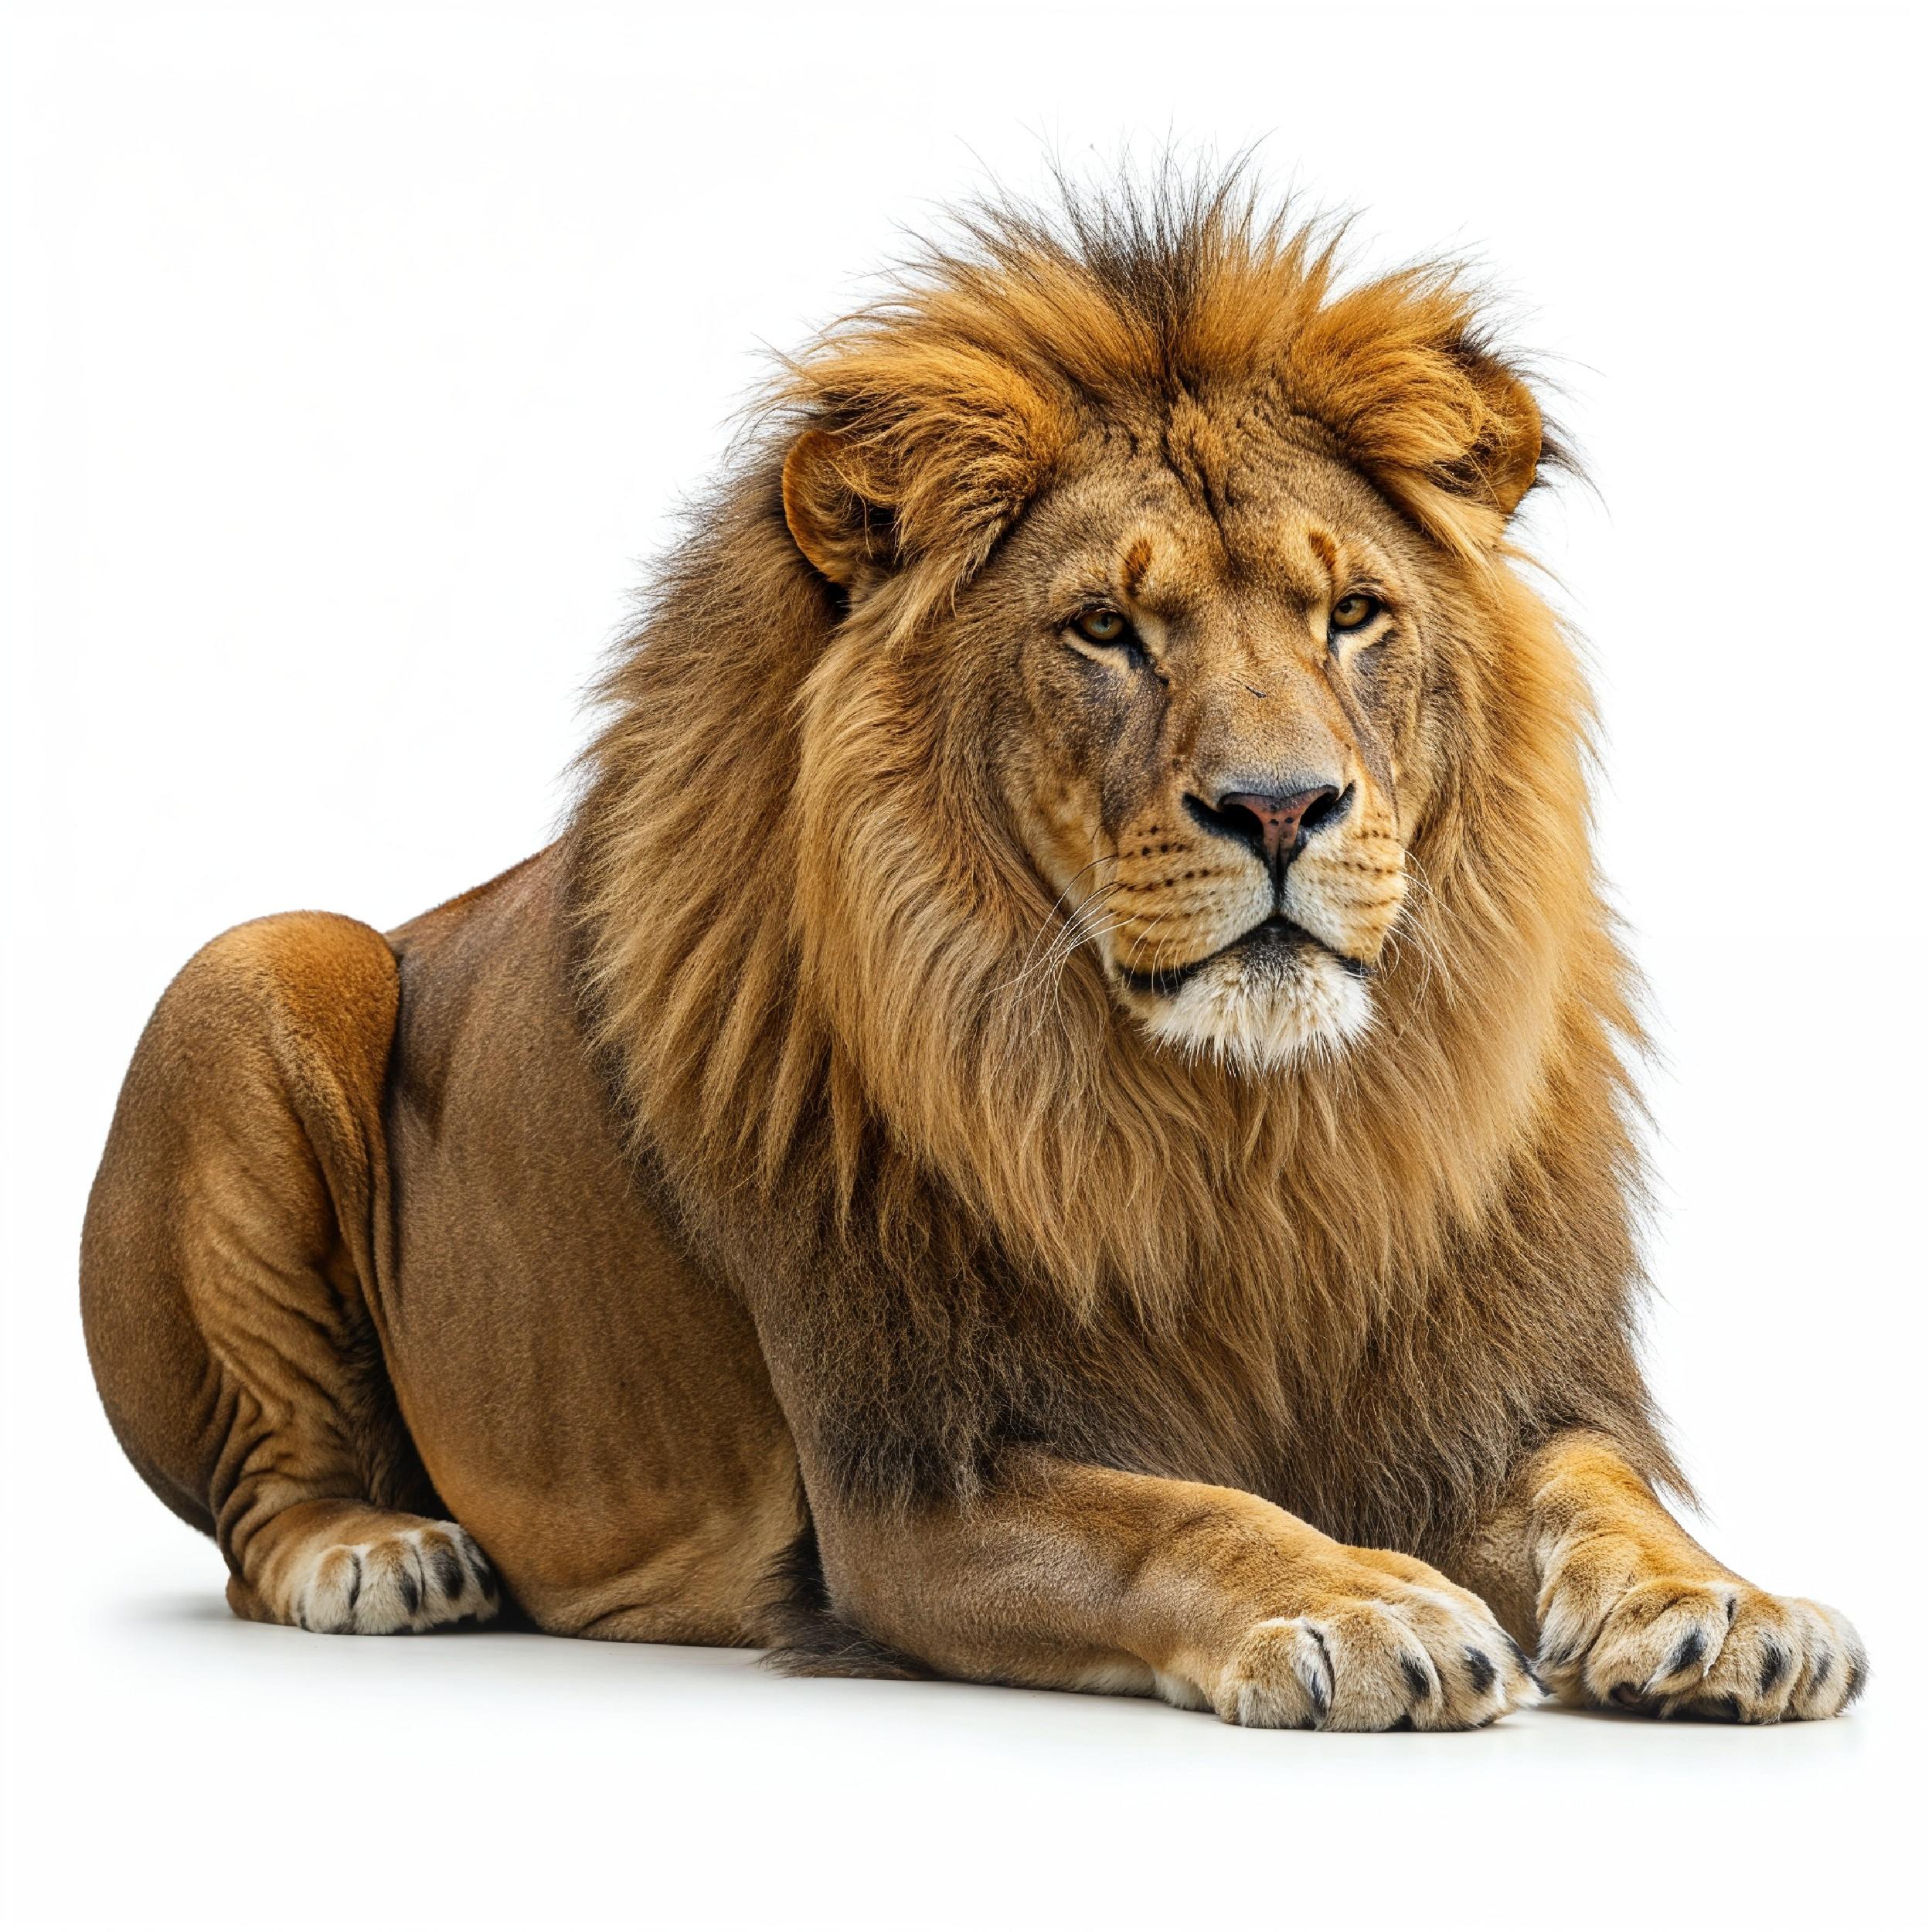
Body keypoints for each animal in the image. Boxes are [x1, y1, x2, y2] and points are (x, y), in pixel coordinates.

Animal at [81, 174, 1866, 1728]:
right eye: (1105, 630)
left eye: (1352, 612)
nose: (1280, 805)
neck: (1257, 1132)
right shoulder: (914, 1483)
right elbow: (1182, 1515)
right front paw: (1364, 1605)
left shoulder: (1476, 1392)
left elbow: (1601, 1490)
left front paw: (1728, 1604)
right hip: (255, 964)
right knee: (258, 1502)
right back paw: (380, 1554)